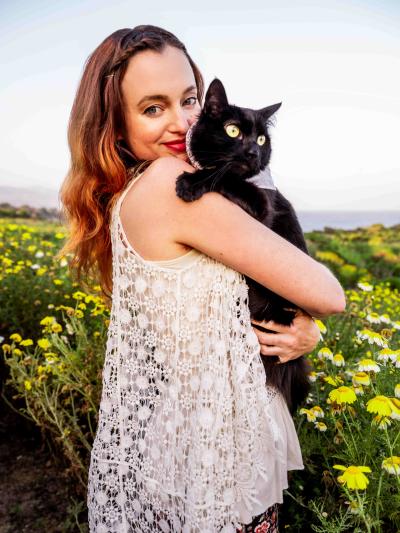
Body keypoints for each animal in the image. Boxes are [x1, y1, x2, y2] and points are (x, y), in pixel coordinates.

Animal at [177, 78, 310, 412]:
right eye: (233, 131)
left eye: (262, 139)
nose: (252, 152)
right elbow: (224, 172)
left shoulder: (261, 208)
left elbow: (224, 176)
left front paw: (190, 183)